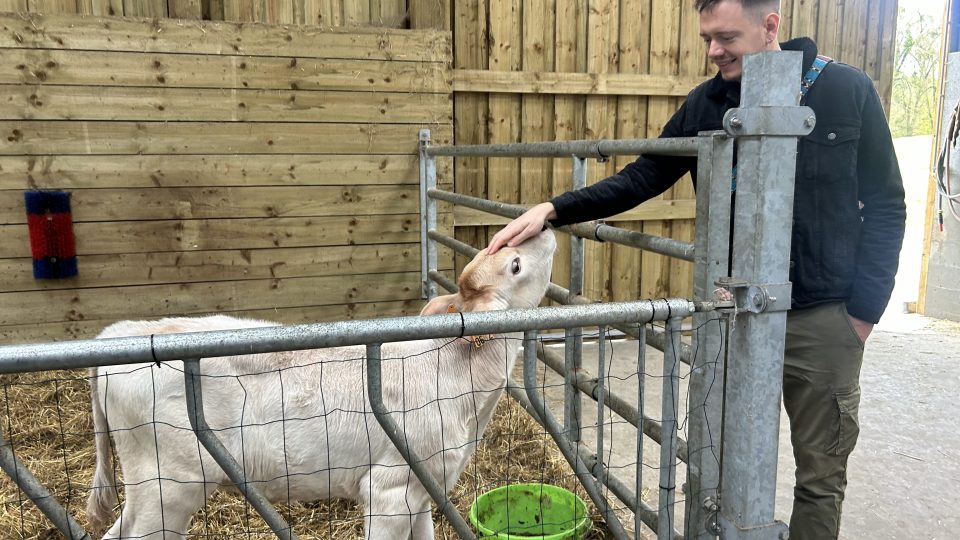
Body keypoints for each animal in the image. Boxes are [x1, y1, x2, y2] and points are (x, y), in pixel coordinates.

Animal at [87, 230, 560, 536]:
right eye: (515, 264)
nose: (547, 224)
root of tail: (119, 332)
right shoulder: (387, 490)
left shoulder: (424, 486)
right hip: (169, 485)